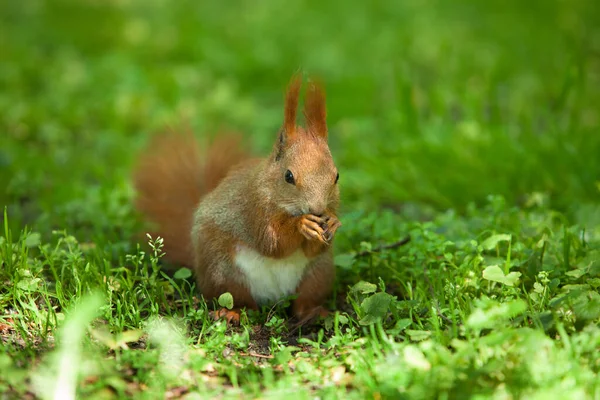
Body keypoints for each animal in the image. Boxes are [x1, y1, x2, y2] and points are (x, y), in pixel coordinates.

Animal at [133, 74, 340, 324]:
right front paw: (302, 224)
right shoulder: (253, 208)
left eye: (336, 176)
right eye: (288, 176)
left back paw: (314, 312)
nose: (317, 209)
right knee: (238, 300)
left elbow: (312, 249)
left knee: (303, 301)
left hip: (317, 274)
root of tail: (274, 297)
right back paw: (231, 313)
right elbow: (271, 243)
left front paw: (333, 222)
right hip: (224, 272)